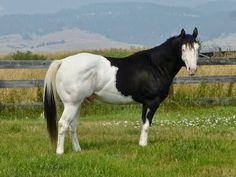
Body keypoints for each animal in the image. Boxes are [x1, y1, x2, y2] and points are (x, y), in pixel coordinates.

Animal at [43, 28, 199, 155]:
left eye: (197, 48)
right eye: (183, 49)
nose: (192, 69)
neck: (155, 65)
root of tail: (63, 62)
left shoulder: (145, 103)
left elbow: (143, 122)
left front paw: (140, 144)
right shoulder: (152, 101)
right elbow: (147, 125)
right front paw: (143, 145)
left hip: (77, 104)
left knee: (73, 126)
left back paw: (78, 150)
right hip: (71, 104)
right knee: (63, 124)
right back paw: (60, 152)